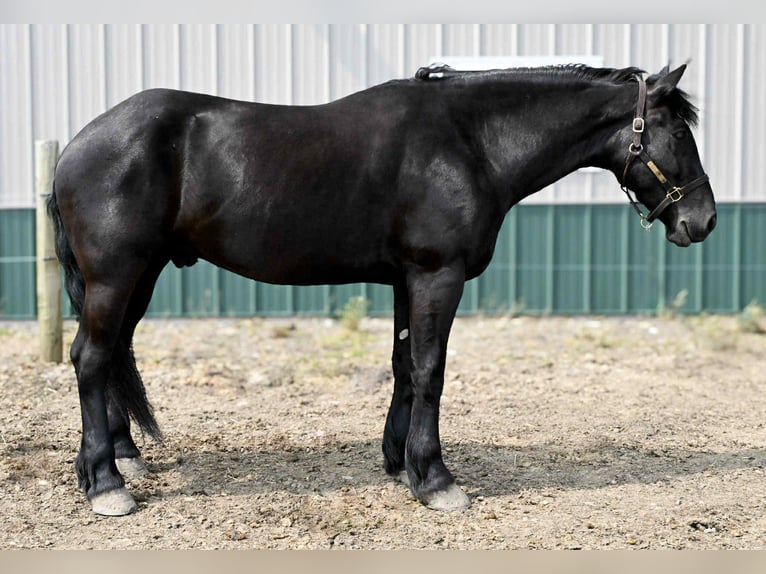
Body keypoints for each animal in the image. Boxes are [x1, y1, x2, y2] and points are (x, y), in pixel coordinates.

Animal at [48, 63, 717, 516]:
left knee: (111, 356)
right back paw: (106, 483)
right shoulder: (436, 275)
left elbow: (403, 367)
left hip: (140, 276)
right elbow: (430, 370)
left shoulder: (406, 279)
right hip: (117, 276)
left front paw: (401, 464)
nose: (704, 221)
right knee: (91, 358)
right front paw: (437, 478)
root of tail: (76, 146)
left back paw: (121, 456)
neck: (471, 141)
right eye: (678, 134)